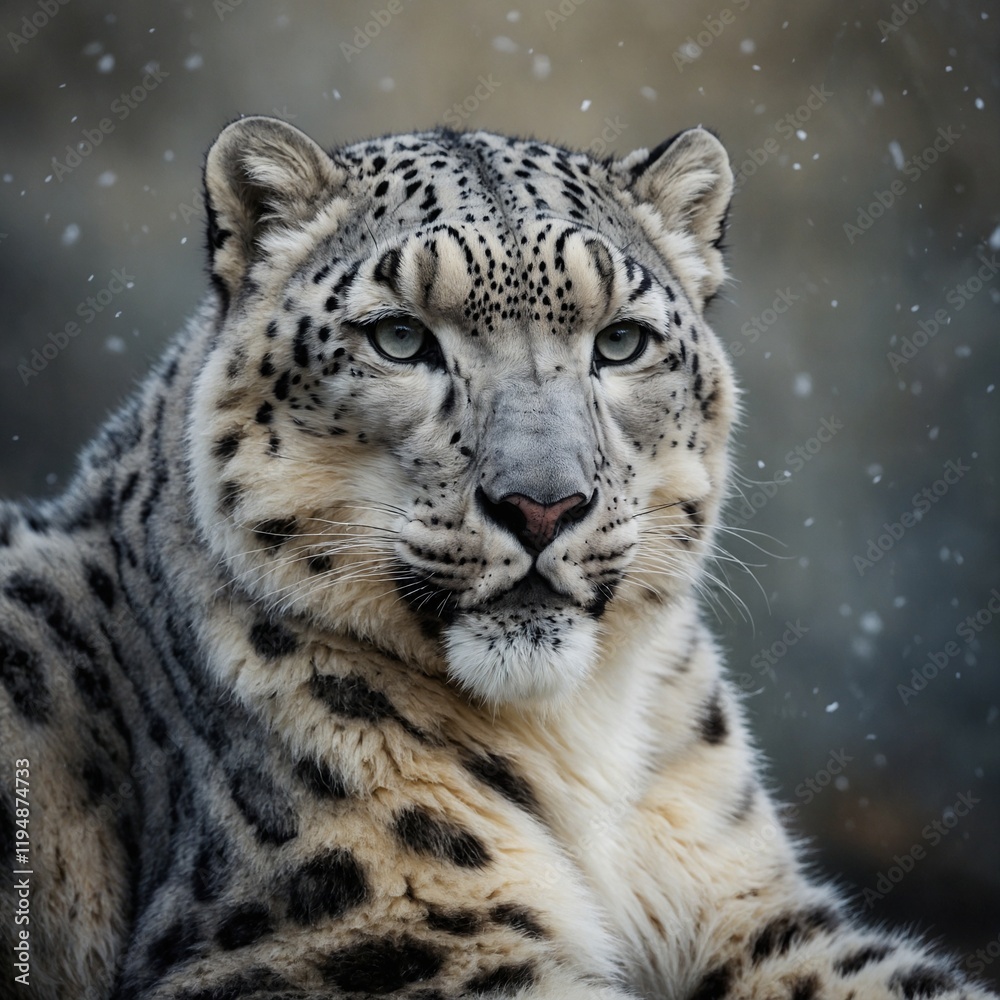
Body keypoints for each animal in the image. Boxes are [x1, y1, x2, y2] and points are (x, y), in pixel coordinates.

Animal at [0, 115, 994, 1000]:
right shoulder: (365, 942)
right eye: (399, 337)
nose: (542, 504)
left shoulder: (750, 909)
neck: (575, 733)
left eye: (621, 341)